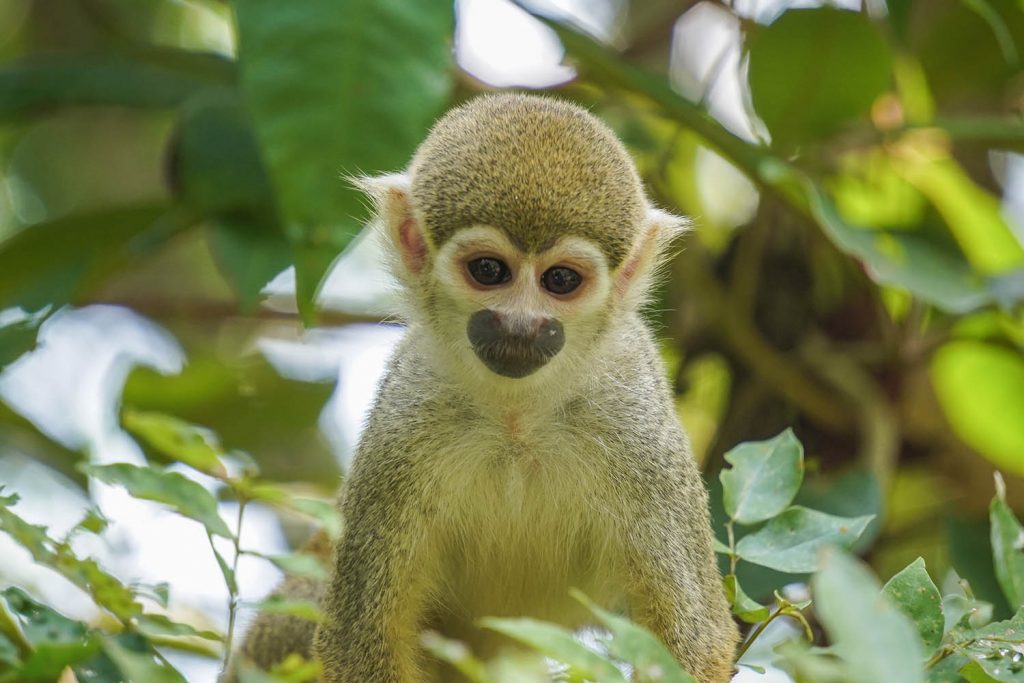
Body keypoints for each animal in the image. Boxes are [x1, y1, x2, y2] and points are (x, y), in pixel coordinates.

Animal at [238, 92, 738, 683]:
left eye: (560, 280)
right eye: (488, 270)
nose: (519, 326)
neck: (516, 415)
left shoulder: (635, 421)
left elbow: (695, 639)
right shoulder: (403, 420)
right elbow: (356, 640)